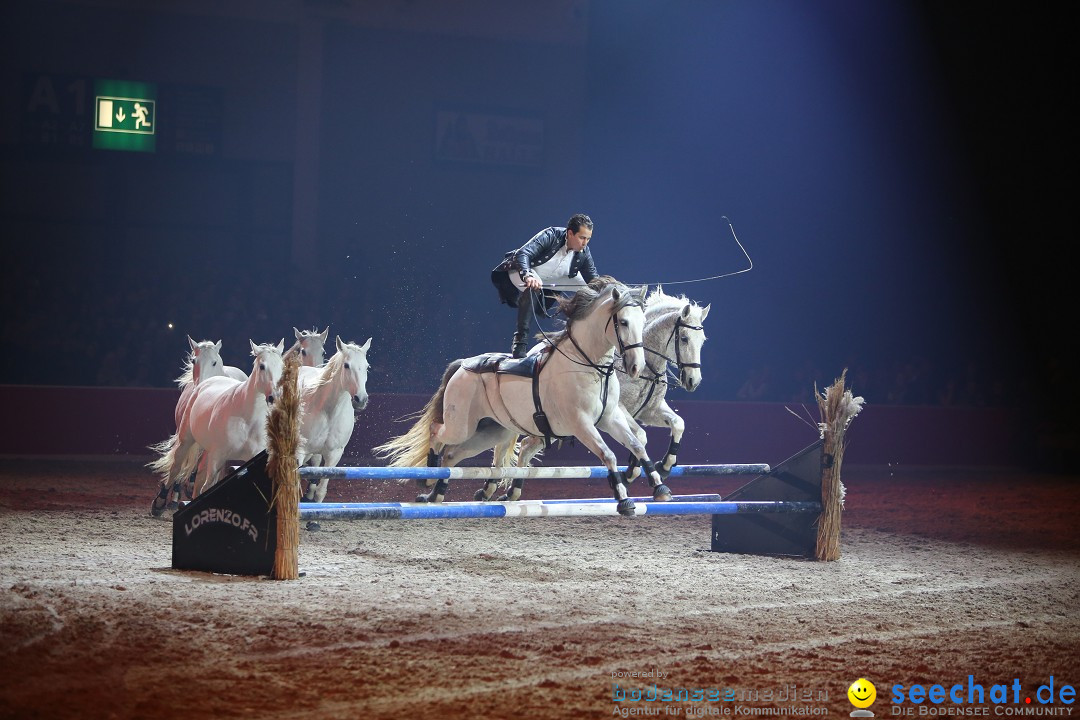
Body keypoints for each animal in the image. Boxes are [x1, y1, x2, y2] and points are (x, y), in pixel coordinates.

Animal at [153, 341, 287, 515]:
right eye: (262, 366)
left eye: (282, 367)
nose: (275, 396)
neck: (246, 417)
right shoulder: (217, 456)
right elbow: (206, 486)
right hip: (186, 440)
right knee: (176, 468)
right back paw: (160, 503)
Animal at [298, 336, 373, 500]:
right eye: (346, 365)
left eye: (367, 367)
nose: (361, 399)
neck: (329, 413)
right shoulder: (299, 451)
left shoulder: (334, 455)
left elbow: (321, 491)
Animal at [371, 278, 656, 518]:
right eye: (623, 322)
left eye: (642, 322)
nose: (636, 367)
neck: (587, 365)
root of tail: (463, 364)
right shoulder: (581, 424)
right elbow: (608, 455)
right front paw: (624, 500)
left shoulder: (609, 419)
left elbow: (637, 444)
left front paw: (657, 484)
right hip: (460, 426)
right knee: (435, 432)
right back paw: (428, 478)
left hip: (491, 432)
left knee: (452, 455)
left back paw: (437, 494)